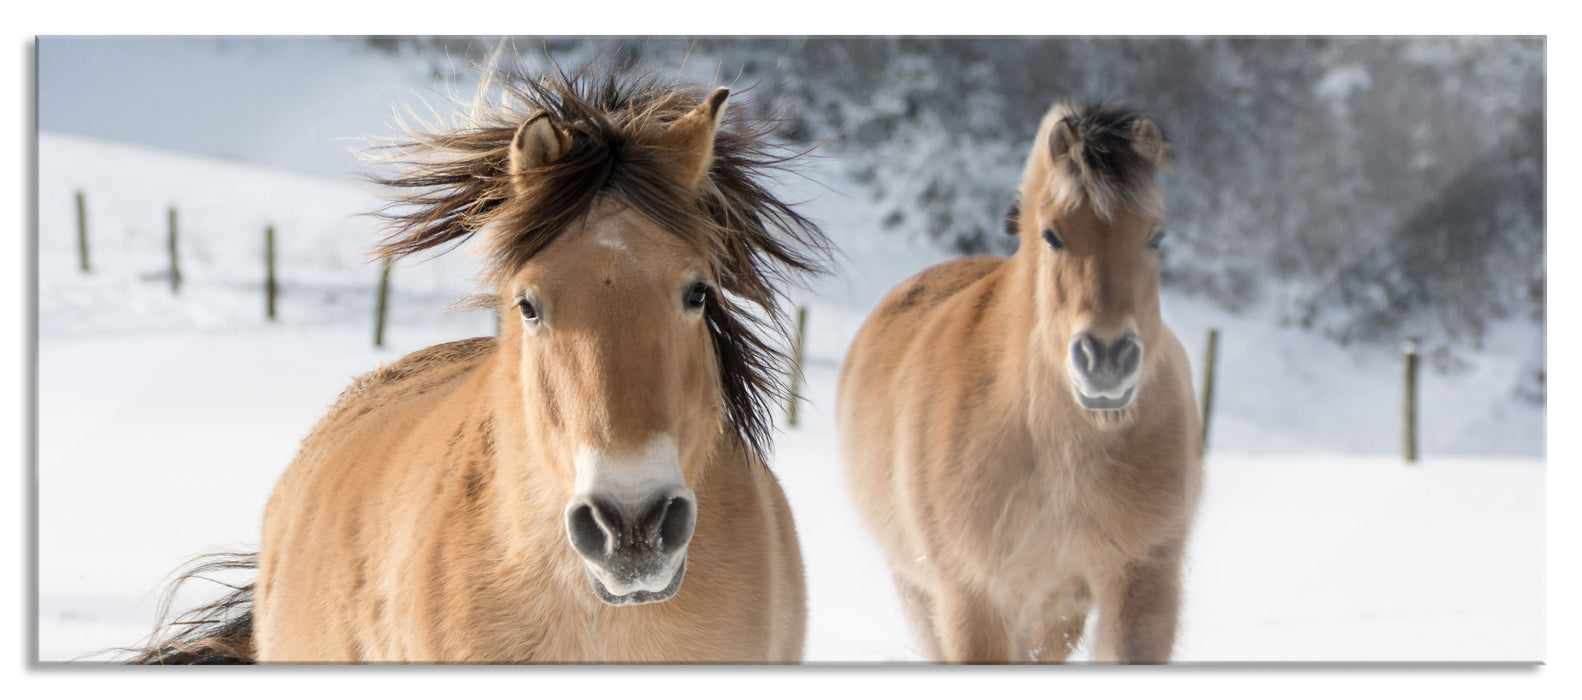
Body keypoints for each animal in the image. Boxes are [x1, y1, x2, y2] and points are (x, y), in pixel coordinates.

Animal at [841, 101, 1195, 665]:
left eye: (1155, 235)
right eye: (1052, 235)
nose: (1106, 358)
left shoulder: (1142, 583)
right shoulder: (974, 598)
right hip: (921, 592)